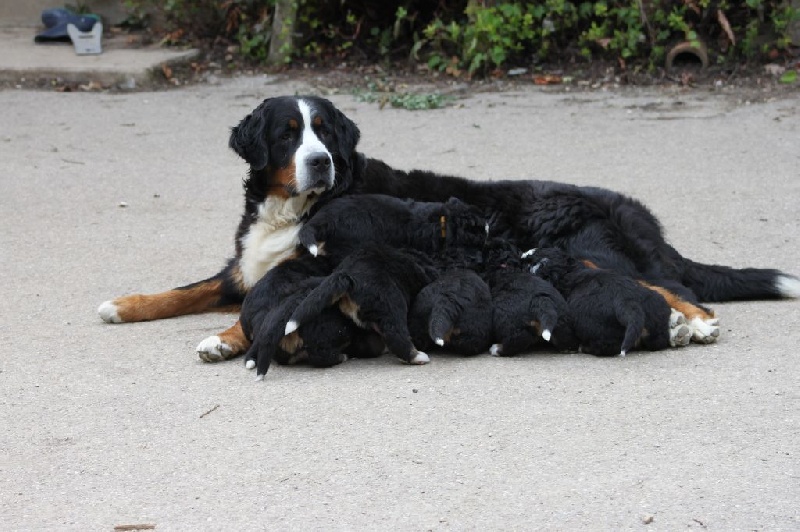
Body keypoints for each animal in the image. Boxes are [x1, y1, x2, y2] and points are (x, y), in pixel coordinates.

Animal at [524, 248, 680, 358]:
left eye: (530, 264)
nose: (524, 254)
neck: (568, 273)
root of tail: (629, 304)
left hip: (593, 325)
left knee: (606, 346)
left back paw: (585, 348)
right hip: (658, 308)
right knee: (658, 340)